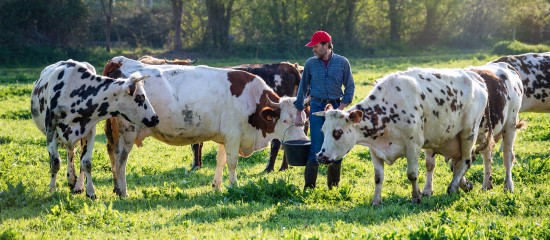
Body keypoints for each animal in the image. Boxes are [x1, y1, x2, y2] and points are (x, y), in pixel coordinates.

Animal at [31, 58, 160, 199]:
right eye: (140, 97)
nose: (155, 118)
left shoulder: (89, 131)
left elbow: (86, 163)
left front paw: (91, 192)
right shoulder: (51, 130)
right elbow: (55, 162)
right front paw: (52, 189)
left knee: (73, 153)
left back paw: (75, 183)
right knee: (70, 152)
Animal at [102, 56, 310, 197]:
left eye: (303, 119)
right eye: (285, 120)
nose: (303, 140)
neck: (252, 99)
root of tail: (120, 61)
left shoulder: (225, 136)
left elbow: (221, 160)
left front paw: (217, 186)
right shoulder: (233, 135)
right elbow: (232, 162)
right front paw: (234, 186)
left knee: (112, 153)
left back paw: (116, 188)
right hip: (127, 131)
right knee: (121, 158)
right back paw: (123, 191)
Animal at [312, 67, 490, 204]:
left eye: (338, 132)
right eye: (323, 131)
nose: (320, 156)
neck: (387, 111)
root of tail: (475, 77)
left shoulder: (413, 146)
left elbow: (412, 175)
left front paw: (416, 197)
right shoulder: (375, 150)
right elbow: (378, 177)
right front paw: (376, 201)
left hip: (468, 132)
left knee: (466, 160)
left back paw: (453, 186)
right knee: (457, 162)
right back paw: (464, 185)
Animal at [422, 62, 528, 195]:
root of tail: (505, 65)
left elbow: (460, 163)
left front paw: (462, 185)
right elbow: (431, 164)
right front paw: (427, 190)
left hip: (510, 125)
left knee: (508, 156)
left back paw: (508, 186)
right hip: (486, 134)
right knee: (487, 156)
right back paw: (487, 184)